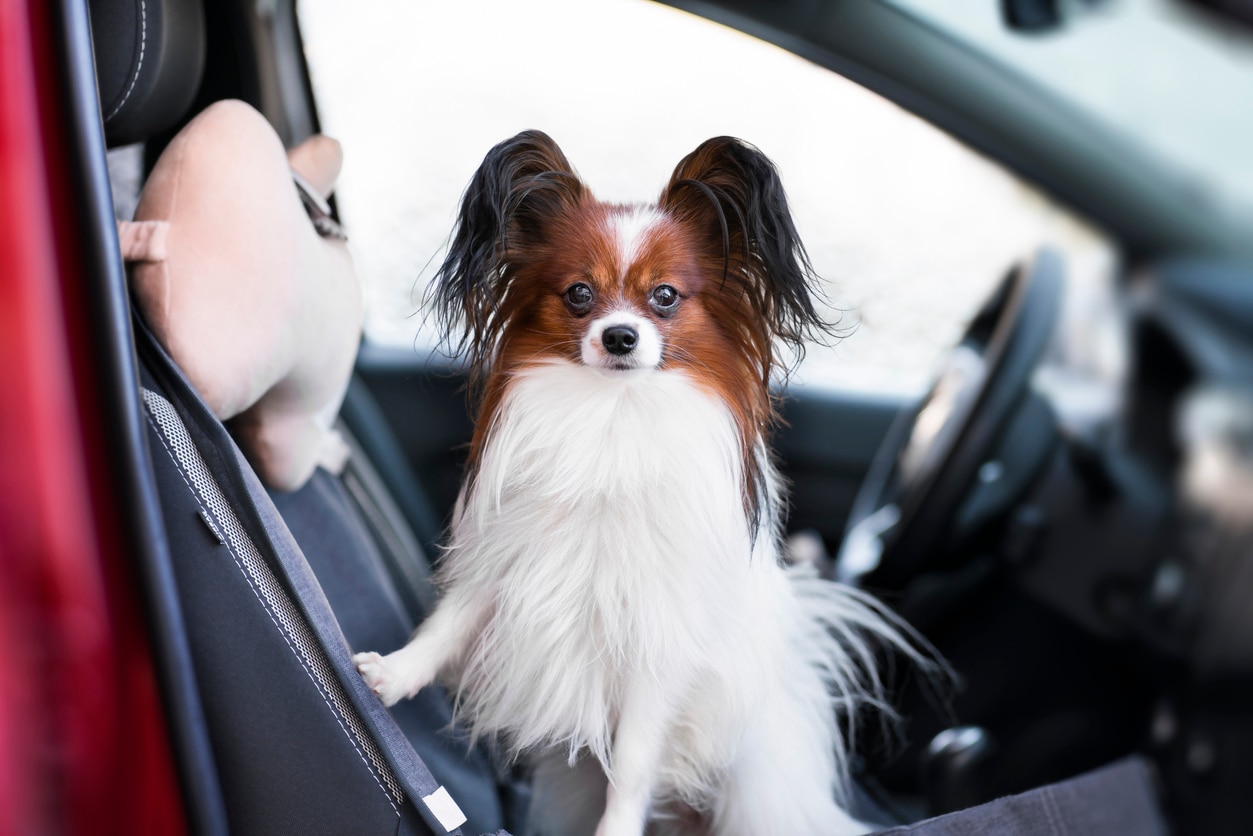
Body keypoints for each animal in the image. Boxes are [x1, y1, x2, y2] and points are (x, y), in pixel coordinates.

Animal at [358, 132, 927, 836]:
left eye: (665, 297)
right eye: (579, 293)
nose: (621, 336)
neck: (613, 419)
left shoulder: (656, 645)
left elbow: (630, 765)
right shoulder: (511, 555)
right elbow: (450, 623)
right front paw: (393, 675)